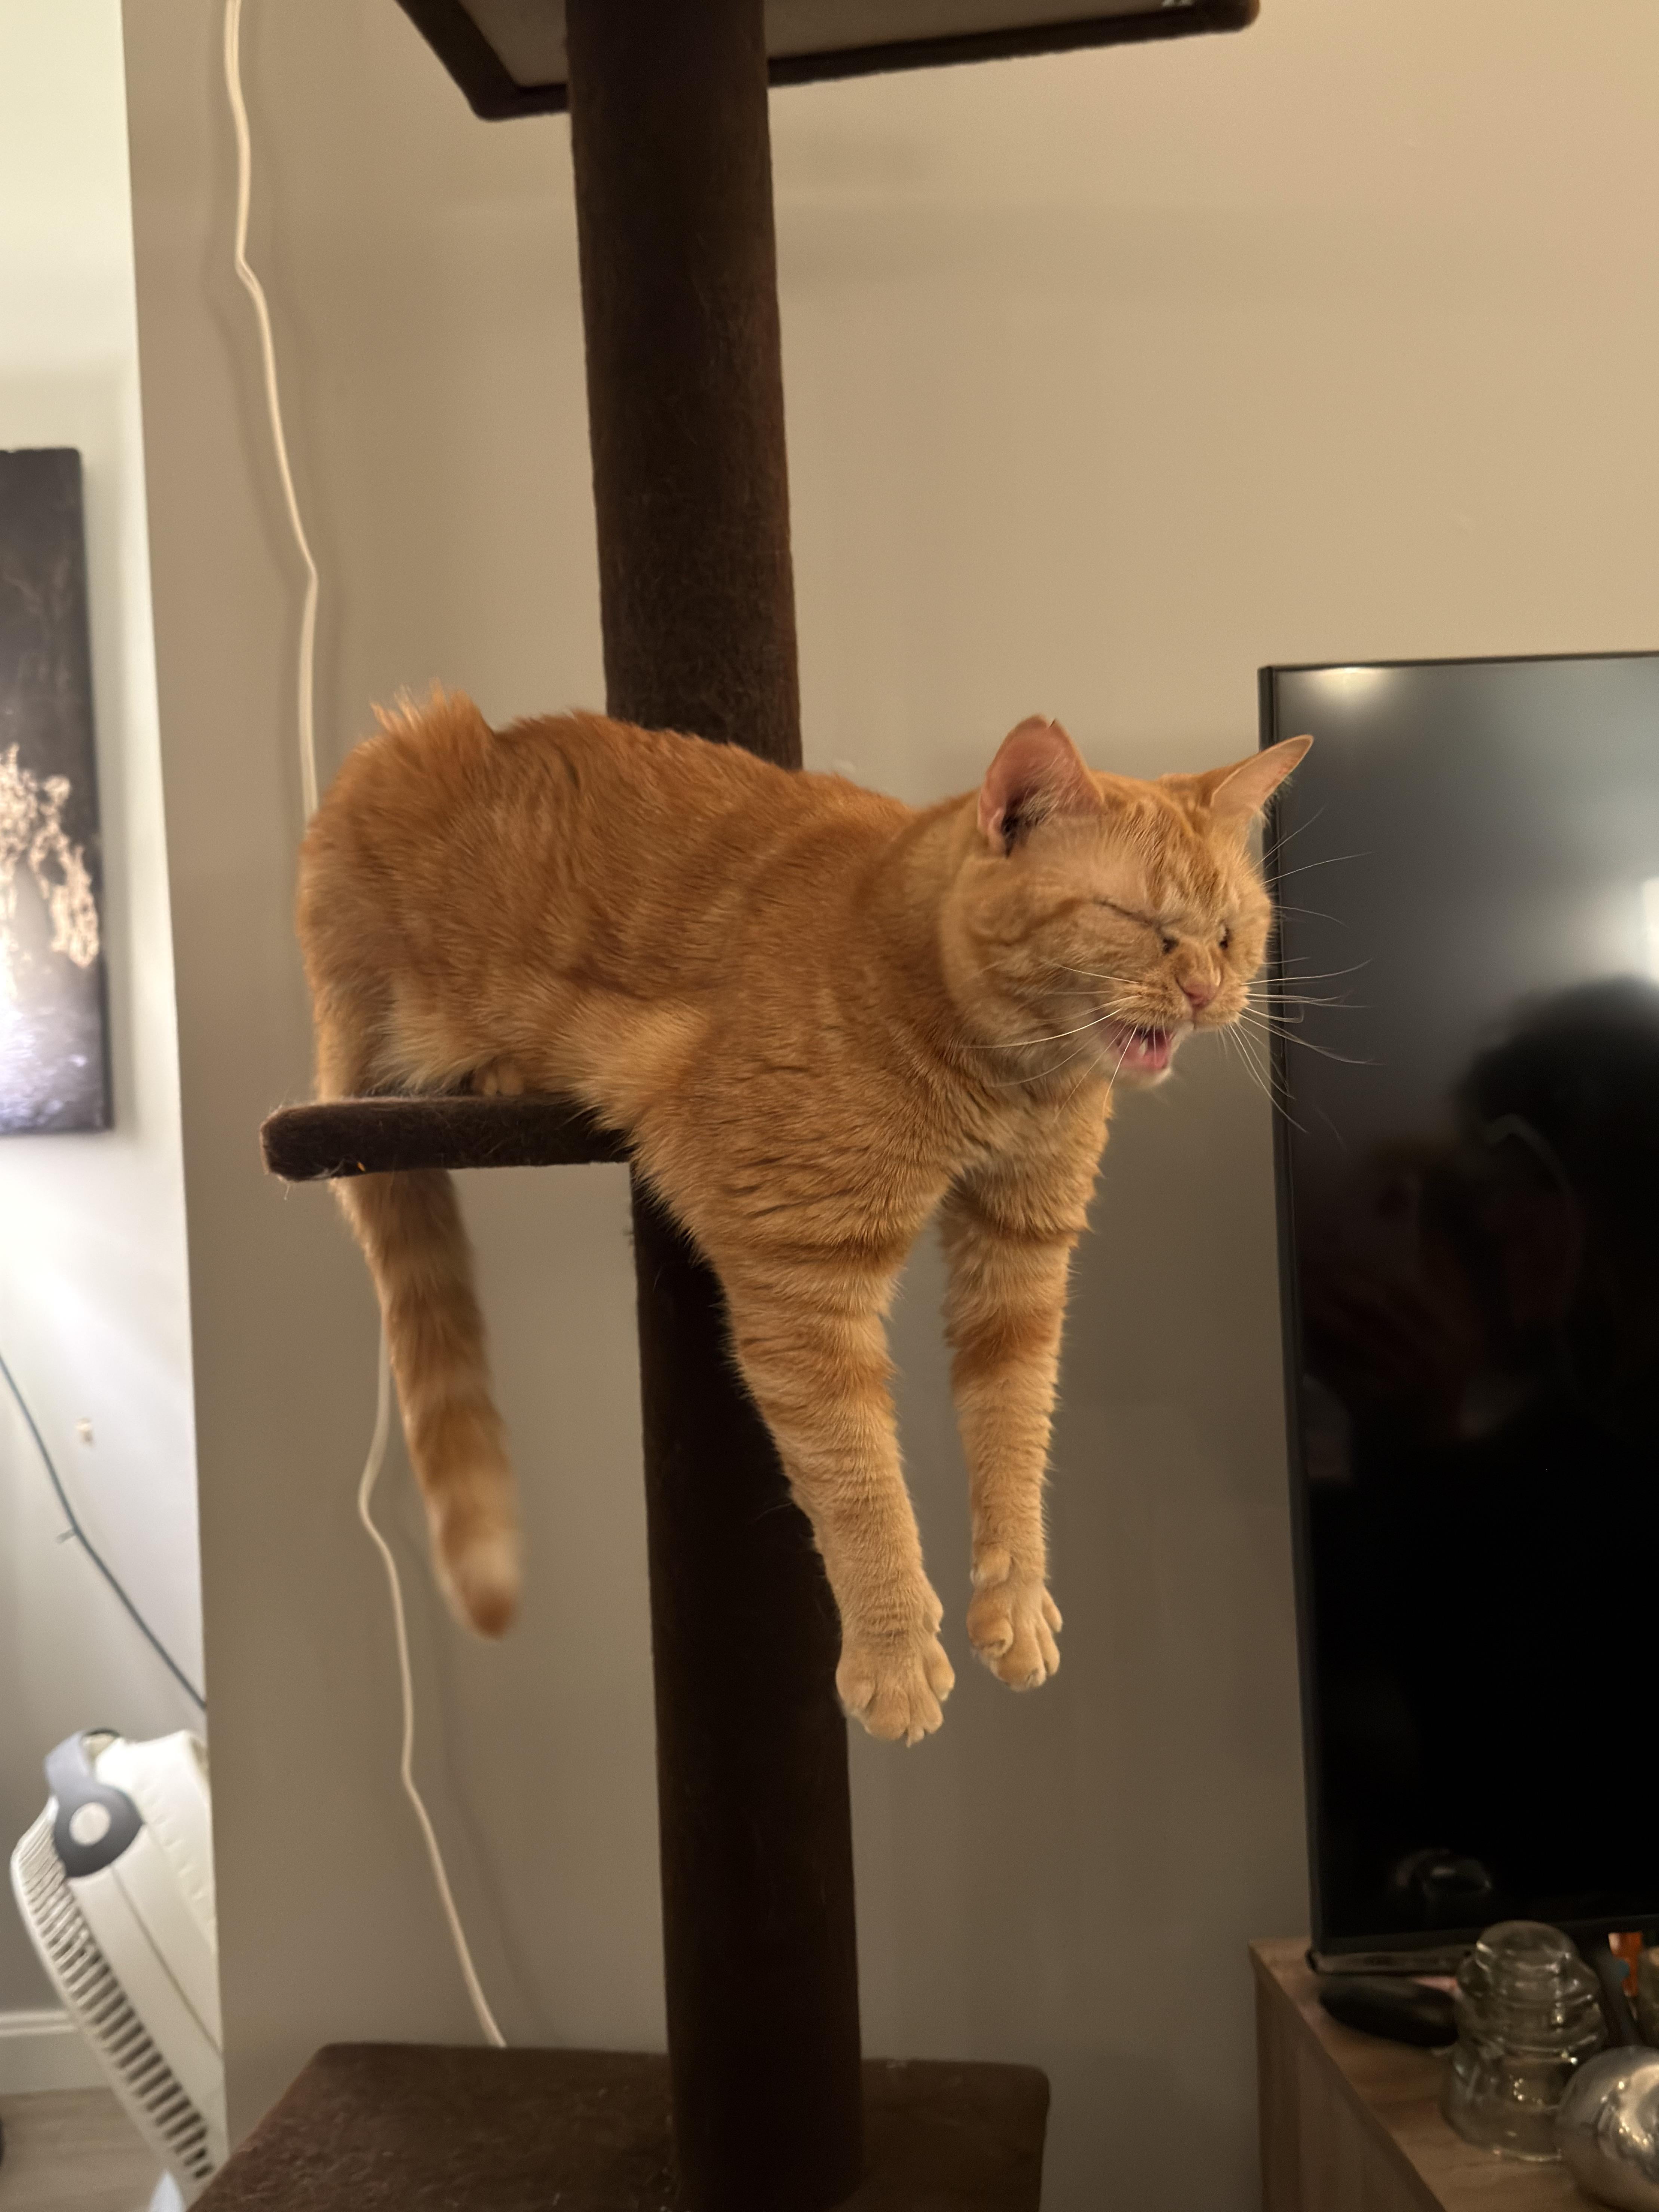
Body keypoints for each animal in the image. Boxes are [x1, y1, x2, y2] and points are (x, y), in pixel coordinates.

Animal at [298, 692, 1309, 1743]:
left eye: (1232, 932)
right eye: (1136, 922)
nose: (1207, 991)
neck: (1003, 1082)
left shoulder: (1021, 1261)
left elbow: (1015, 1431)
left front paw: (1016, 1602)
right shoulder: (806, 1281)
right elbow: (859, 1479)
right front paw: (895, 1654)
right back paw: (492, 1069)